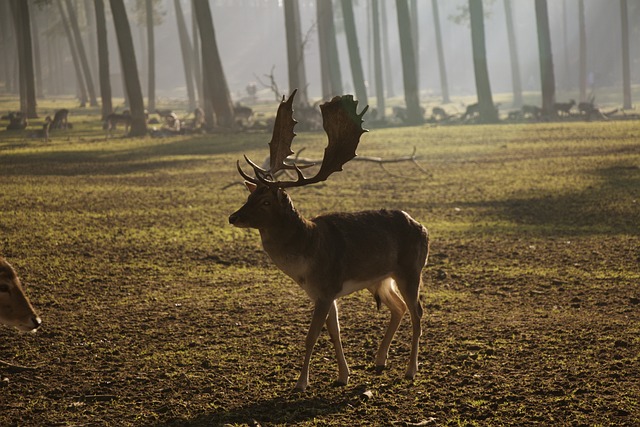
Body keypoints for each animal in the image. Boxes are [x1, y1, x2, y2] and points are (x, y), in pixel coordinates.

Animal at [229, 91, 430, 394]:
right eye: (249, 196)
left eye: (265, 202)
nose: (233, 217)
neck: (305, 257)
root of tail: (423, 228)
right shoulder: (324, 292)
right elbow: (334, 332)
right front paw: (343, 376)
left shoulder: (325, 289)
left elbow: (312, 336)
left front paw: (301, 383)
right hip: (380, 278)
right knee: (399, 307)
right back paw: (380, 360)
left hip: (411, 269)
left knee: (418, 312)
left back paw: (410, 370)